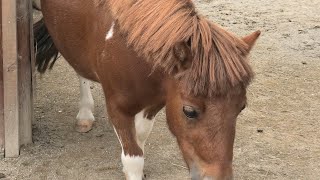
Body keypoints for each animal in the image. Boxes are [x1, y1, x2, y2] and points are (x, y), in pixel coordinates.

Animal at [33, 0, 262, 179]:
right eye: (189, 111)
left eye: (241, 107)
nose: (217, 177)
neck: (128, 50)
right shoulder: (117, 109)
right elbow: (133, 159)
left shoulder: (156, 102)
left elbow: (141, 134)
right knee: (80, 71)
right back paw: (85, 114)